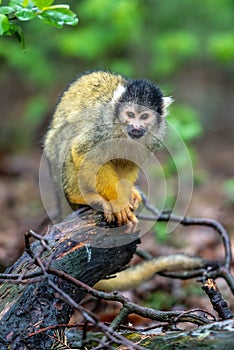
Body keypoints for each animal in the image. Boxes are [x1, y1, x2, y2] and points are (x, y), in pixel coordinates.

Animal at [44, 69, 172, 231]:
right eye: (130, 114)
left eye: (144, 116)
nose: (136, 127)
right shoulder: (104, 127)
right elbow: (84, 152)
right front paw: (119, 202)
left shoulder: (153, 137)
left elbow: (128, 164)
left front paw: (126, 195)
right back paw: (80, 196)